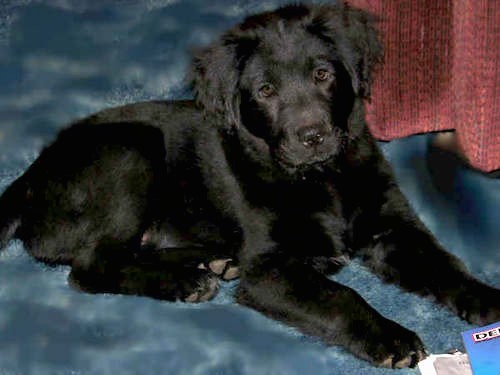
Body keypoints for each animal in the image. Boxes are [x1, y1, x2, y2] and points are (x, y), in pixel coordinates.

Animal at [0, 2, 500, 370]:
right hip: (130, 150)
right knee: (90, 268)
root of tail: (27, 178)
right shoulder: (270, 269)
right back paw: (184, 280)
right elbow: (340, 295)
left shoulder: (393, 229)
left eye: (323, 74)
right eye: (265, 91)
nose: (312, 136)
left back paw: (210, 262)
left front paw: (486, 299)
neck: (321, 177)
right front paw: (389, 335)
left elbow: (445, 265)